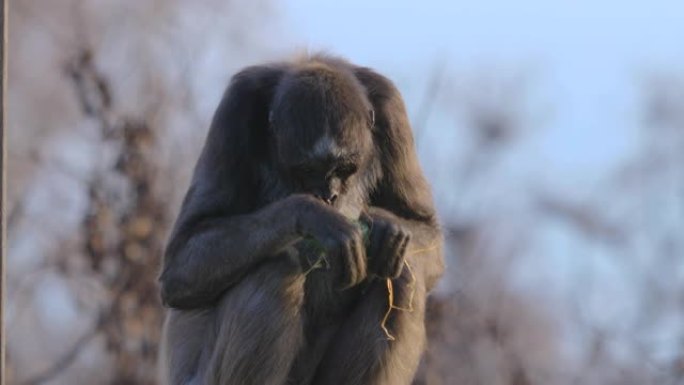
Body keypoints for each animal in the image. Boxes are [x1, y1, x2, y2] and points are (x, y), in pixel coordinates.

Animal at [158, 54, 446, 384]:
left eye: (343, 169)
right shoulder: (236, 109)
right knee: (276, 266)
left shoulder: (390, 107)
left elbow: (426, 233)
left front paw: (384, 227)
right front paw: (309, 214)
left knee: (402, 272)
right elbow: (181, 263)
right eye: (307, 171)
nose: (328, 195)